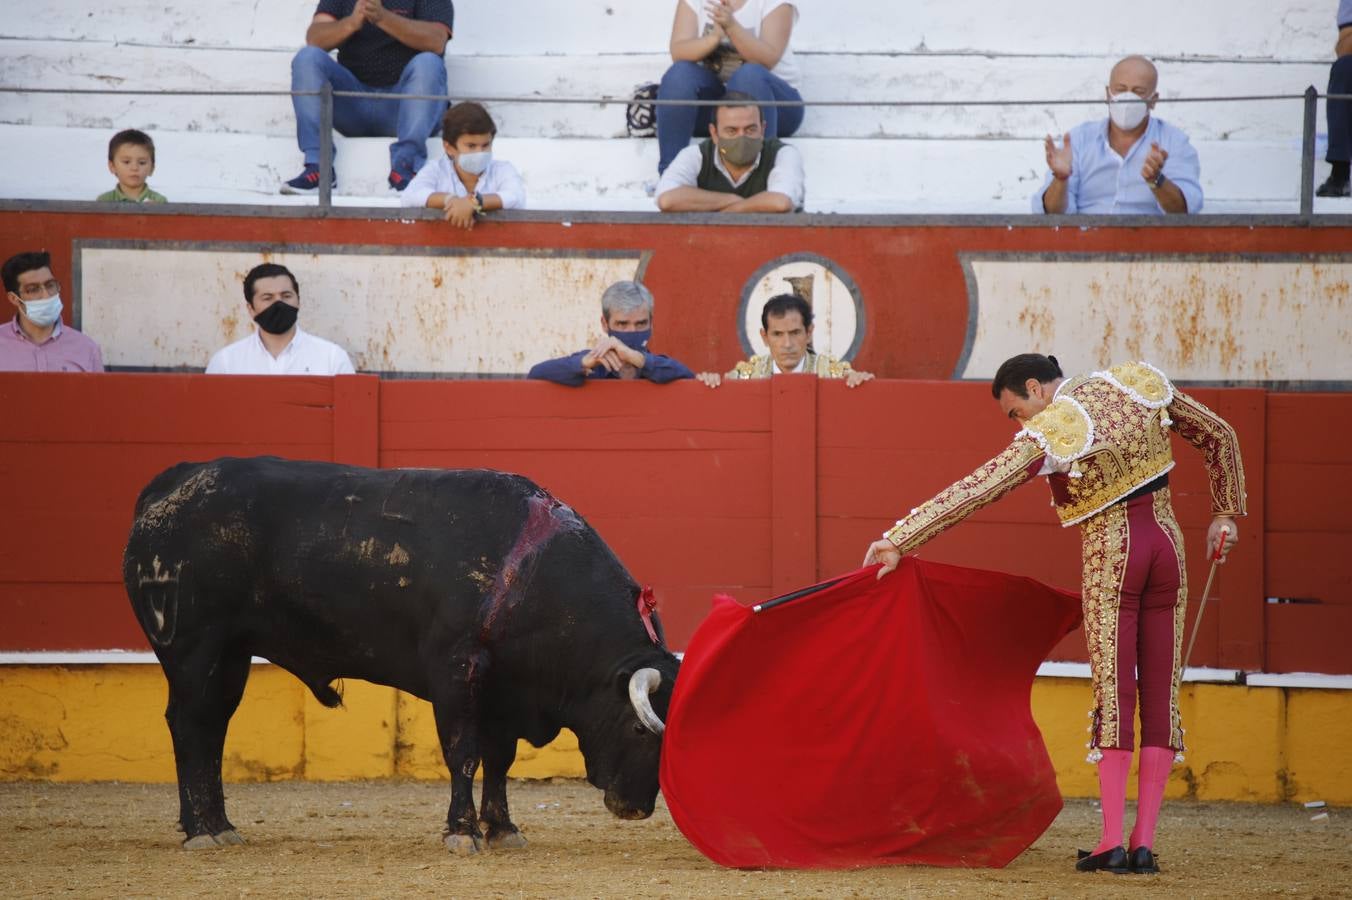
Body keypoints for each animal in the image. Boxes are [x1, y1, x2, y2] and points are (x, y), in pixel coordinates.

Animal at [123, 456, 681, 848]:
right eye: (639, 729)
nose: (636, 807)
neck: (527, 573)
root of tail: (172, 483)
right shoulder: (457, 671)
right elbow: (464, 752)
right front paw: (462, 832)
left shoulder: (503, 689)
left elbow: (500, 758)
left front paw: (503, 829)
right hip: (194, 649)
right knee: (190, 724)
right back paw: (202, 830)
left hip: (232, 654)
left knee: (213, 727)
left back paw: (219, 823)